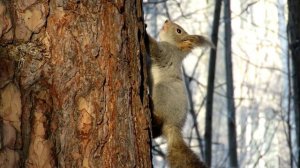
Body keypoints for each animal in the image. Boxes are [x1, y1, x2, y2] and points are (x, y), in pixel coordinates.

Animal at [146, 20, 214, 168]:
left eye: (178, 30)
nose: (166, 21)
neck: (175, 47)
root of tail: (174, 125)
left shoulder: (165, 51)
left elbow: (153, 47)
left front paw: (144, 29)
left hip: (162, 91)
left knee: (160, 118)